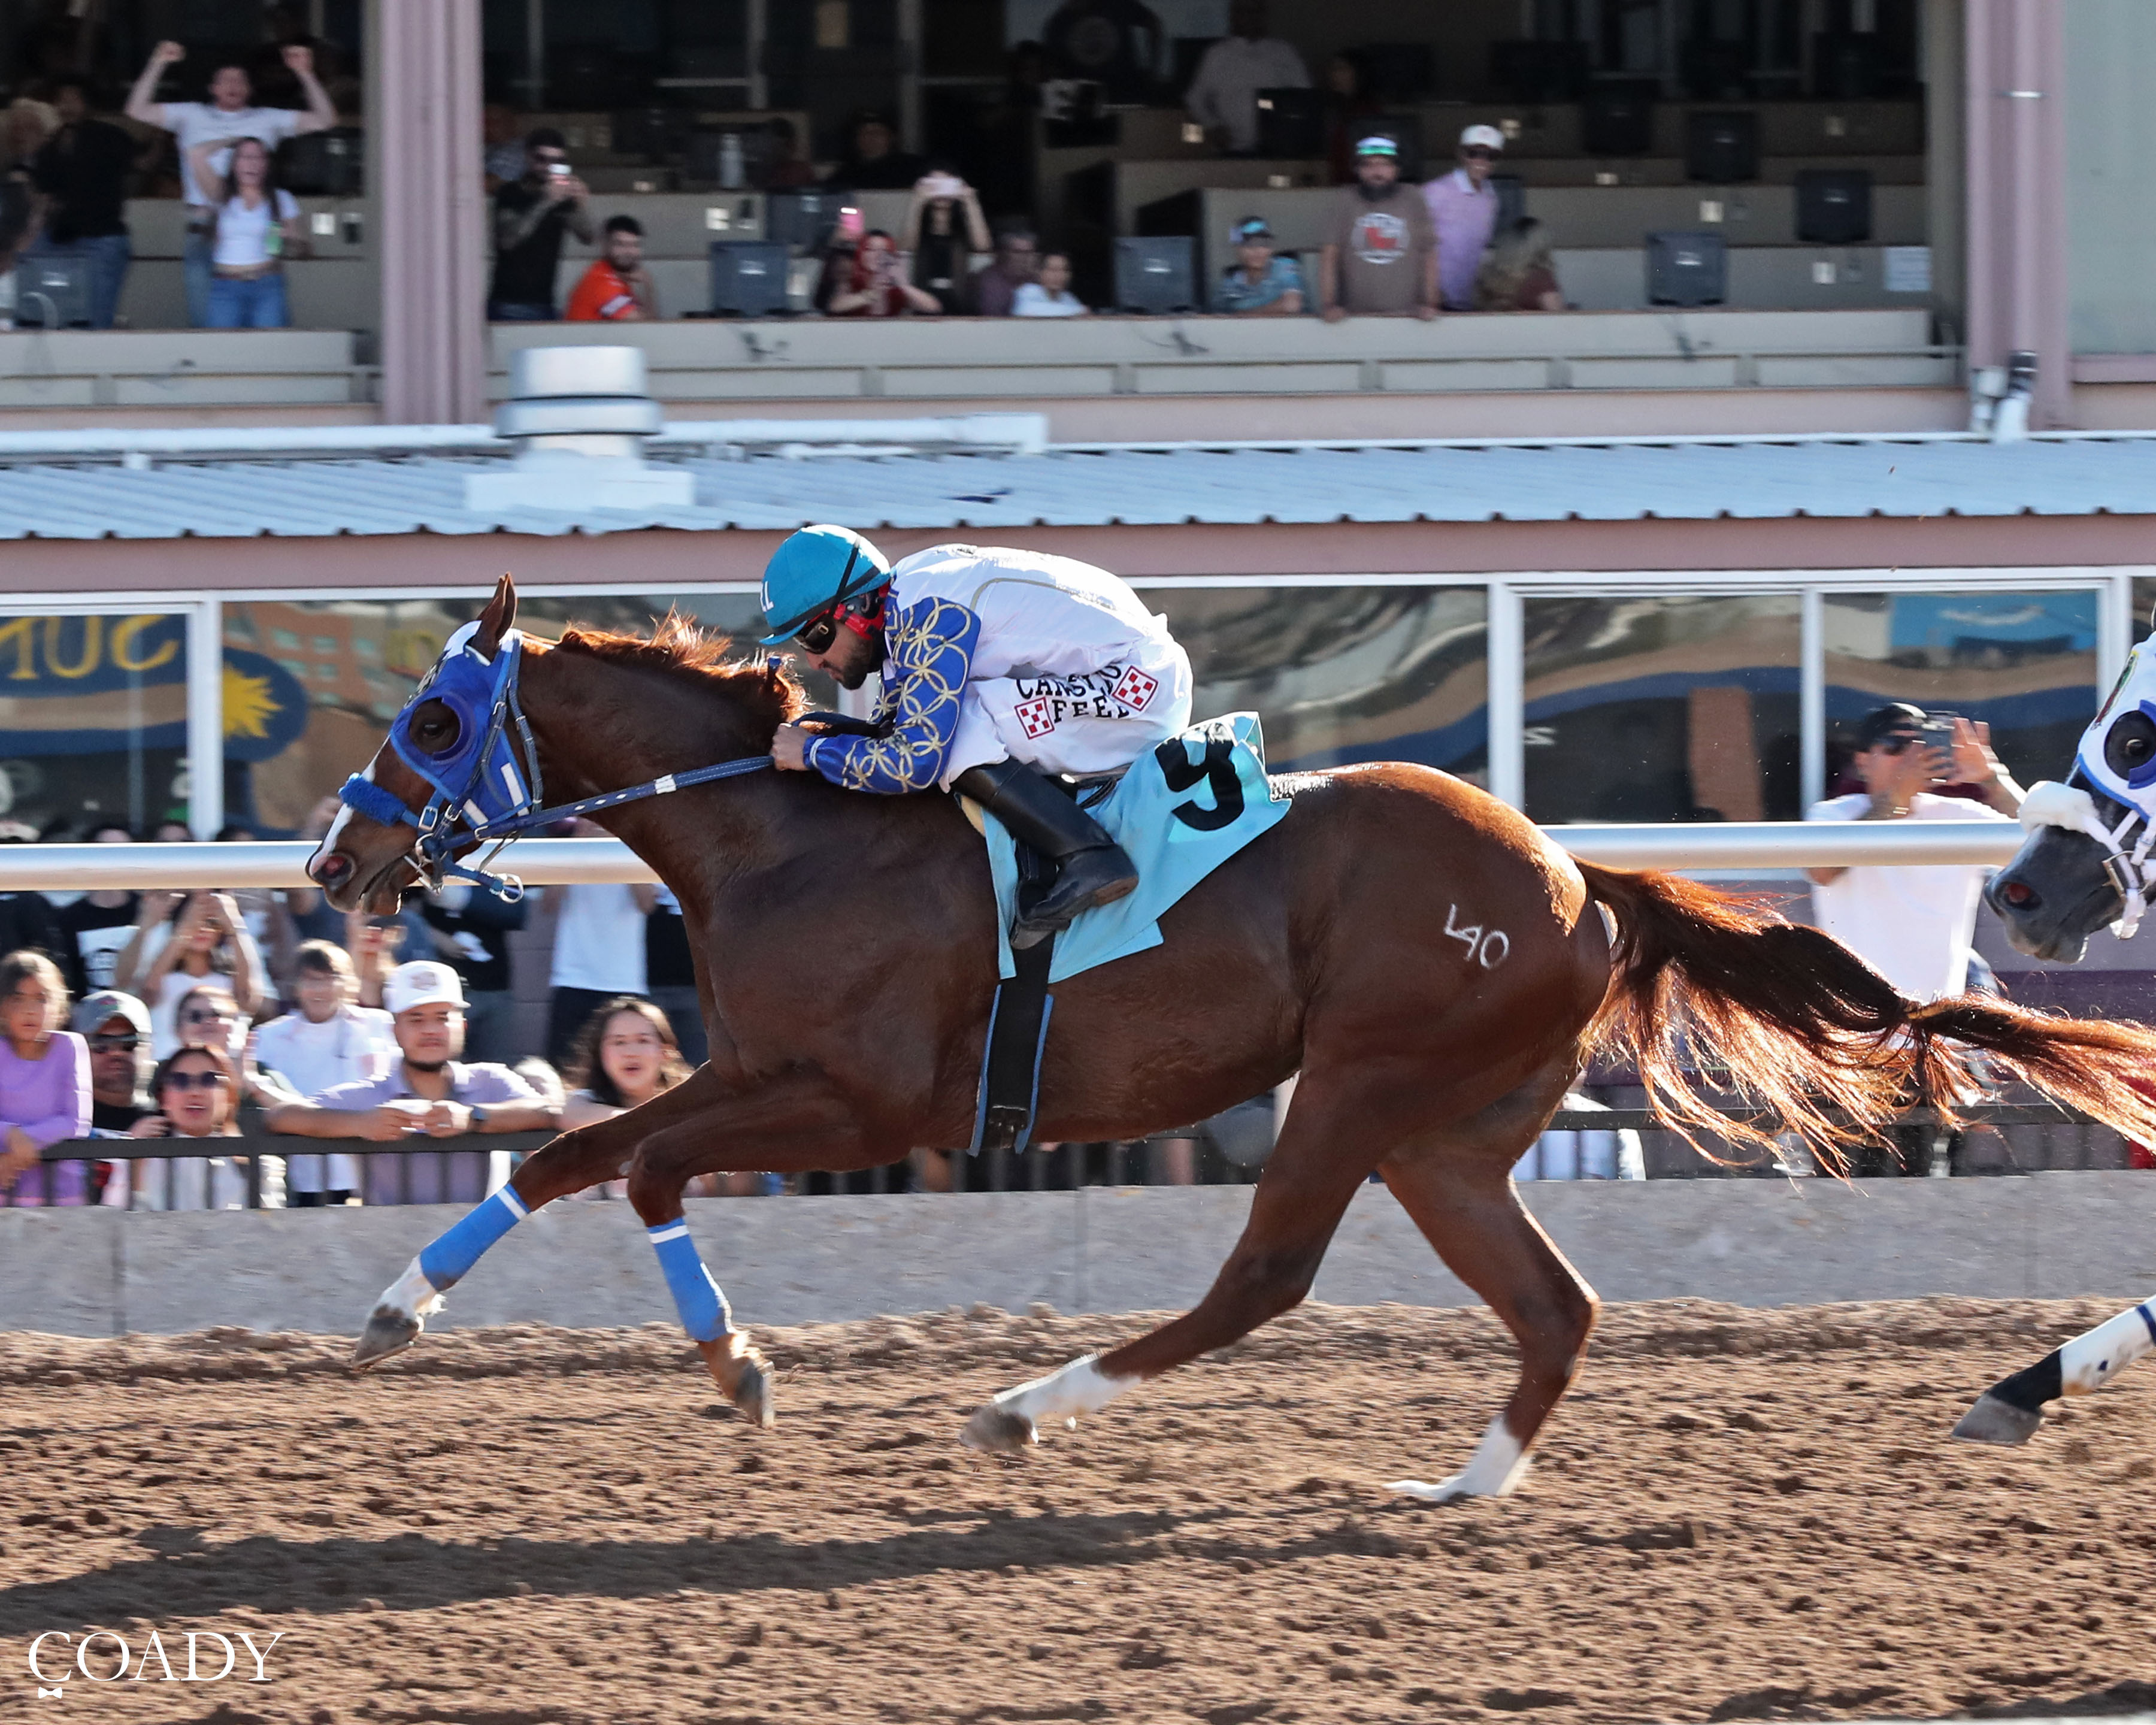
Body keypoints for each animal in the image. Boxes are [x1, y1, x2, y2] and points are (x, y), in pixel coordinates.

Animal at [311, 573, 2156, 1502]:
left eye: (435, 719)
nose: (337, 859)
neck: (785, 830)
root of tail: (1578, 876)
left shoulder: (853, 1101)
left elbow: (640, 1174)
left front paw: (738, 1363)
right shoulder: (757, 1072)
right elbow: (572, 1148)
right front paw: (398, 1312)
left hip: (1357, 1082)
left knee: (1263, 1279)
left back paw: (1025, 1410)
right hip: (1445, 1130)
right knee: (1552, 1307)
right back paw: (1461, 1490)